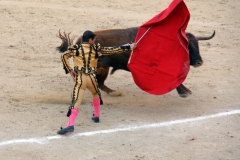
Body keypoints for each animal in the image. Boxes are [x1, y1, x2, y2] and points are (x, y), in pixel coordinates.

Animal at [56, 27, 216, 97]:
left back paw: (112, 92)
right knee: (97, 82)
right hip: (101, 67)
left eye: (197, 44)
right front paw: (184, 92)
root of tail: (78, 41)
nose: (199, 62)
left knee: (99, 83)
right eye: (187, 46)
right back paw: (113, 92)